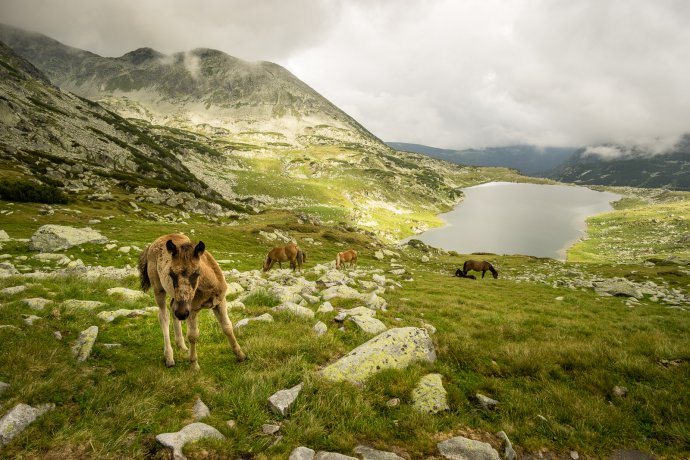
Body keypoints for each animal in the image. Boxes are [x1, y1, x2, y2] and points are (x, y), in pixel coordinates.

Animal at [138, 234, 246, 370]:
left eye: (196, 273)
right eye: (171, 273)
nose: (182, 313)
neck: (207, 287)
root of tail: (152, 244)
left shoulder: (220, 301)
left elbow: (227, 327)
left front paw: (240, 355)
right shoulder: (192, 309)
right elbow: (193, 335)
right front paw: (194, 365)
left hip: (176, 299)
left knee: (172, 309)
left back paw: (182, 346)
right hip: (159, 289)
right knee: (164, 316)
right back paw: (169, 357)